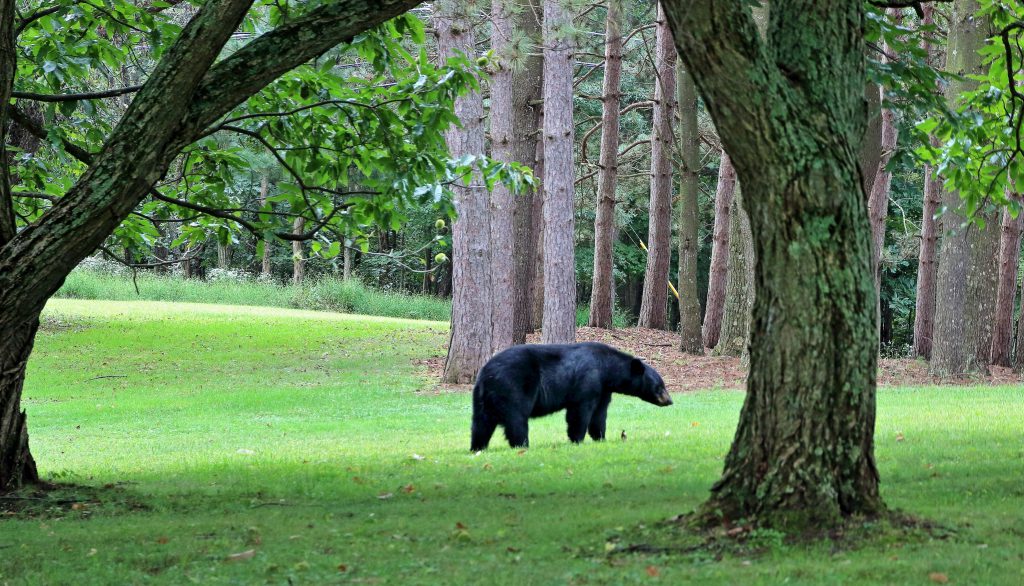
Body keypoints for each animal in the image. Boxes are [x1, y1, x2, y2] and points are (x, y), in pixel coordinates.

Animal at [468, 340, 671, 450]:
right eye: (660, 386)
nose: (669, 401)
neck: (607, 369)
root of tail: (486, 374)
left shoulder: (603, 389)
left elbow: (599, 415)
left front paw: (600, 438)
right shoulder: (588, 380)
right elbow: (580, 412)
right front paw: (577, 440)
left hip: (482, 398)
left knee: (481, 424)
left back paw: (478, 446)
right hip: (513, 387)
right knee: (516, 419)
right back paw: (522, 445)